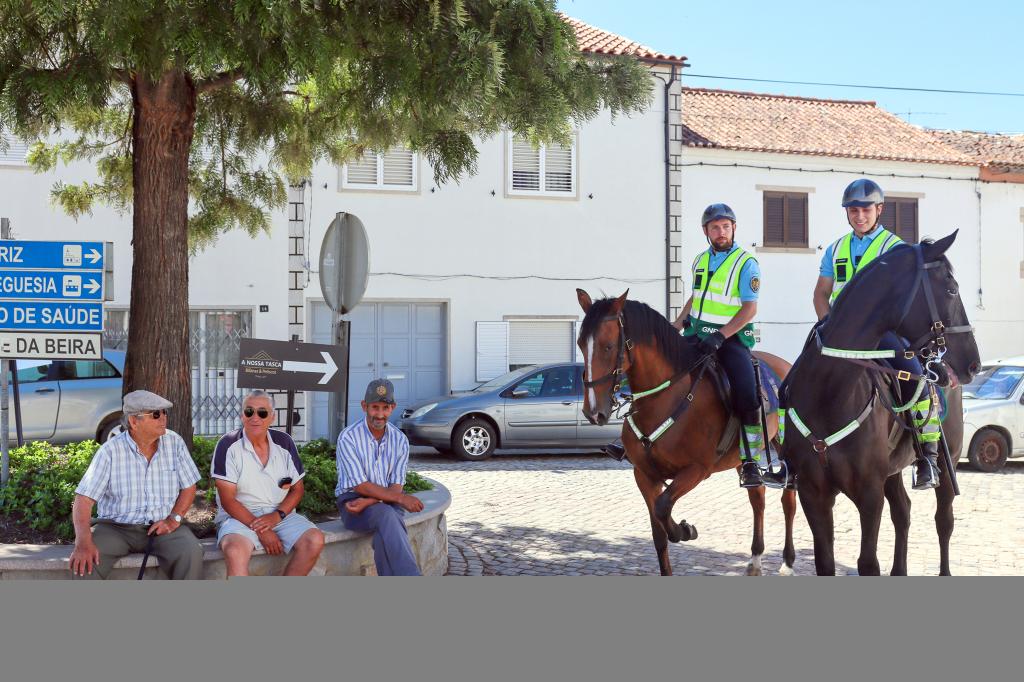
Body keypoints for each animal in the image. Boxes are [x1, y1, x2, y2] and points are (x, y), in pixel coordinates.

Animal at [577, 286, 798, 573]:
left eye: (608, 346)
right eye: (581, 345)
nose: (593, 411)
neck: (665, 397)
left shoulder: (696, 470)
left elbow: (663, 507)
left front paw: (684, 530)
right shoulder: (644, 475)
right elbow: (659, 533)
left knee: (788, 500)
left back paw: (788, 562)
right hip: (744, 458)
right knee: (757, 496)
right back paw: (756, 559)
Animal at [782, 229, 983, 573]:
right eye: (952, 289)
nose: (974, 363)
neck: (828, 391)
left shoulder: (869, 492)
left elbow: (868, 563)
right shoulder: (813, 493)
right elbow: (825, 563)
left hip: (950, 460)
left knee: (944, 521)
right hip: (892, 470)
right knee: (903, 511)